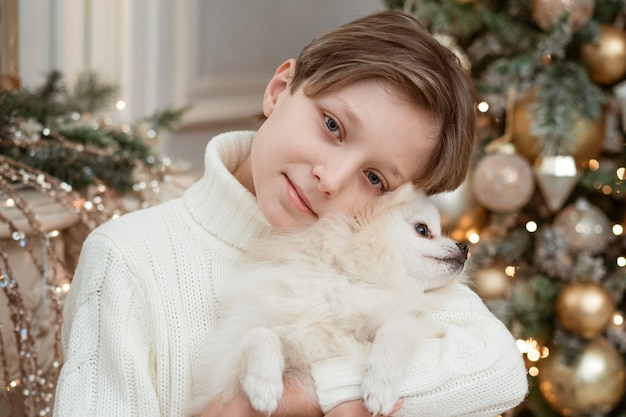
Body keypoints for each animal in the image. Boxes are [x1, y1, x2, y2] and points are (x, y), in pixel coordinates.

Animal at [188, 184, 466, 414]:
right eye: (423, 230)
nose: (465, 246)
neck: (346, 277)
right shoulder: (231, 355)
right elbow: (258, 334)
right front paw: (263, 384)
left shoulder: (401, 319)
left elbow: (392, 334)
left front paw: (380, 387)